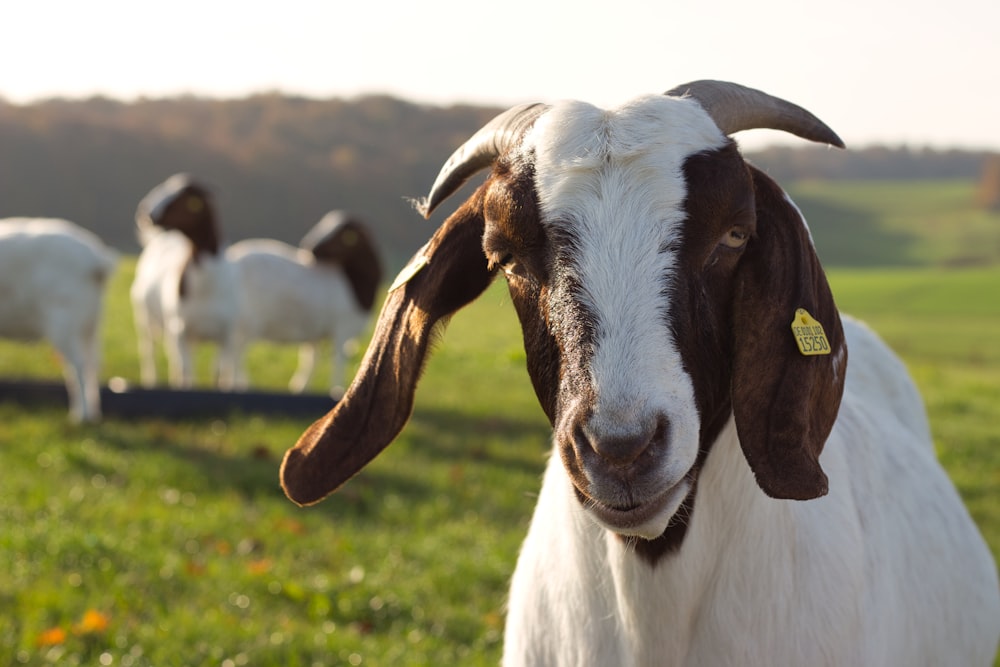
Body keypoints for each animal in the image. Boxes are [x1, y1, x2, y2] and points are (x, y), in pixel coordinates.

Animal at [129, 175, 240, 388]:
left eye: (183, 197)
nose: (144, 214)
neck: (207, 288)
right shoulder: (180, 330)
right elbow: (186, 372)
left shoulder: (226, 335)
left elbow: (219, 372)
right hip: (147, 319)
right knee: (150, 353)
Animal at [226, 211, 382, 394]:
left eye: (345, 234)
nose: (310, 247)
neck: (353, 284)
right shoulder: (341, 329)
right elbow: (338, 362)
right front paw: (337, 391)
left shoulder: (316, 333)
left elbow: (312, 360)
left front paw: (301, 387)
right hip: (248, 322)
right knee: (235, 353)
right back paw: (238, 386)